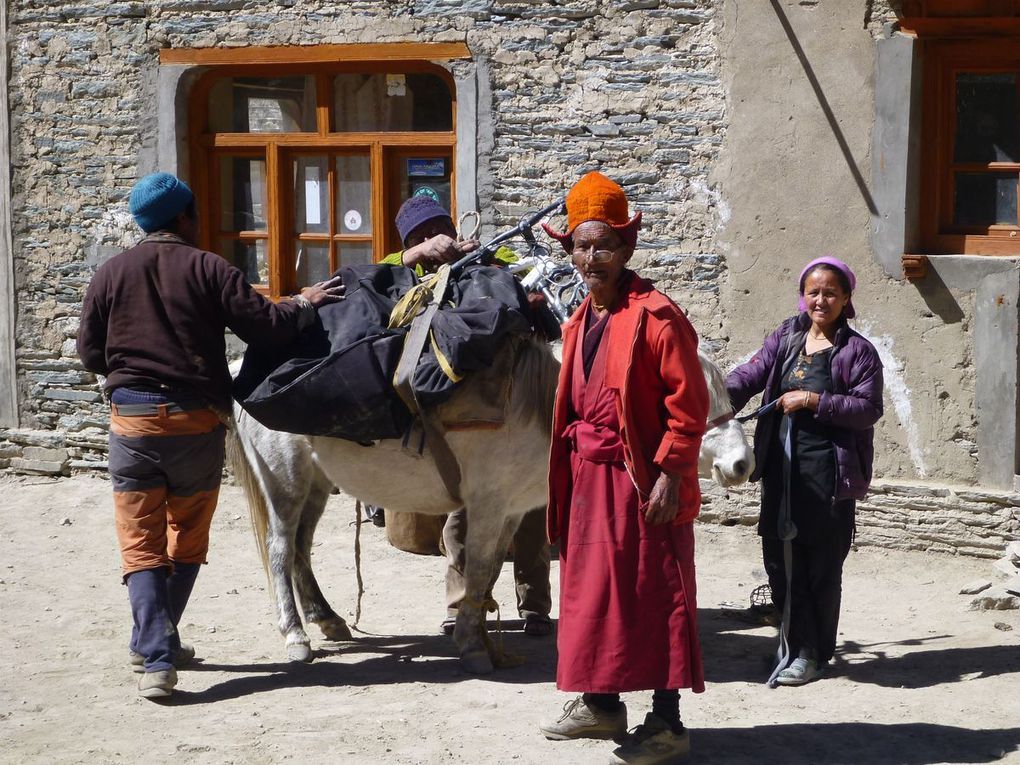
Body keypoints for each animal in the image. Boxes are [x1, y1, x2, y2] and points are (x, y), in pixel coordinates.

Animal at [227, 338, 754, 673]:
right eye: (684, 397)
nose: (743, 464)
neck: (543, 405)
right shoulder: (488, 505)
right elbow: (477, 568)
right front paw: (472, 648)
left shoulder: (509, 511)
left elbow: (487, 573)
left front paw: (479, 637)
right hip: (286, 482)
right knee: (280, 550)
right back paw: (296, 637)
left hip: (316, 484)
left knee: (301, 550)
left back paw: (328, 620)